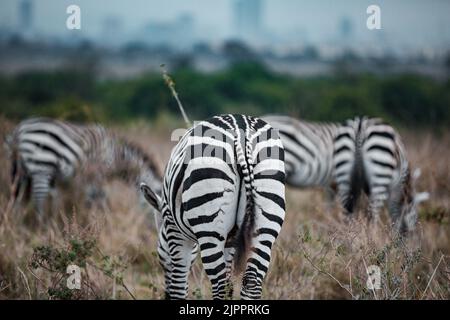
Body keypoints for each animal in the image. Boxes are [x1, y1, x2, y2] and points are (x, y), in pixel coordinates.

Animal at [7, 118, 162, 218]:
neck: (117, 156)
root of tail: (18, 131)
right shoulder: (97, 174)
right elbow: (99, 199)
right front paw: (98, 220)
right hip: (41, 167)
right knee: (38, 200)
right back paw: (42, 229)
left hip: (22, 172)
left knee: (17, 200)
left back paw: (19, 227)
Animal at [140, 114, 284, 298]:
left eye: (161, 260)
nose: (164, 296)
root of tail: (241, 132)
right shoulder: (231, 241)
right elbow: (230, 285)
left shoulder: (175, 231)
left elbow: (178, 287)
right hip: (265, 223)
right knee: (251, 283)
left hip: (209, 226)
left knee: (219, 286)